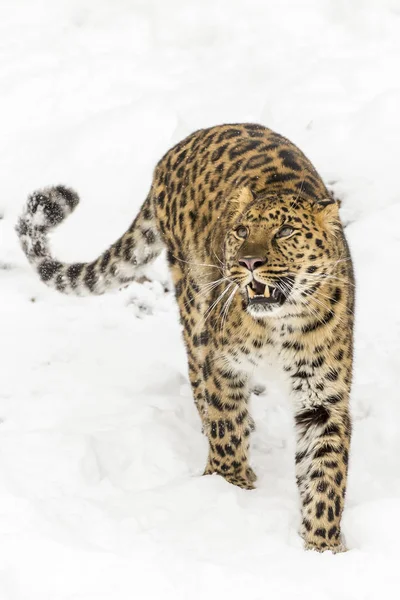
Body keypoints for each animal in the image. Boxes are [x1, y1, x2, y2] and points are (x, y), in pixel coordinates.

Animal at [16, 122, 354, 552]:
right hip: (193, 305)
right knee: (199, 382)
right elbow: (227, 425)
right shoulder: (223, 364)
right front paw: (231, 486)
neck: (280, 324)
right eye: (241, 230)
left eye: (285, 231)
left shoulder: (322, 397)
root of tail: (184, 143)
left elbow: (325, 474)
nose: (248, 261)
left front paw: (324, 547)